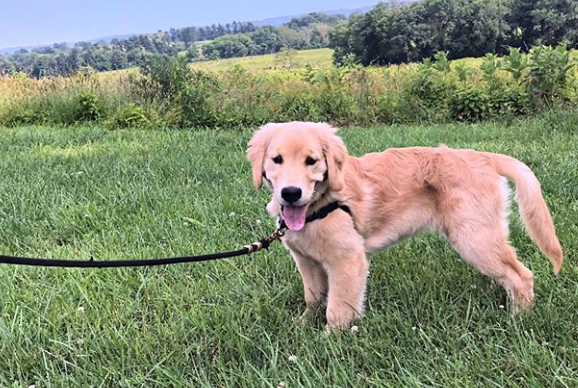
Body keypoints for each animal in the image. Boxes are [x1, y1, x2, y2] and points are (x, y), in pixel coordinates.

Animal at [245, 122, 560, 330]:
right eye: (277, 160)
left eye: (311, 161)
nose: (290, 193)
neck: (321, 204)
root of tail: (482, 156)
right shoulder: (307, 261)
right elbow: (313, 298)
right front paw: (302, 325)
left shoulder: (348, 261)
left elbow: (337, 308)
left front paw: (329, 341)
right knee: (509, 272)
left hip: (473, 237)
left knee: (521, 275)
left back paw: (518, 319)